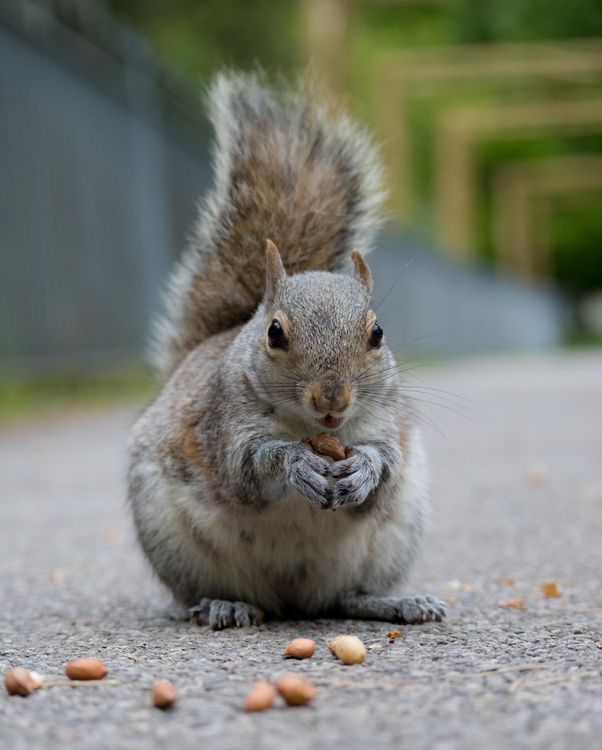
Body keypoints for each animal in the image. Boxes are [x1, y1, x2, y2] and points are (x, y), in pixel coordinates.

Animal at [127, 72, 445, 630]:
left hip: (394, 535)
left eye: (378, 333)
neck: (315, 430)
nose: (332, 400)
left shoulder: (385, 425)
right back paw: (223, 604)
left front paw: (363, 469)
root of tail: (291, 600)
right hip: (169, 537)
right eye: (274, 333)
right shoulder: (224, 424)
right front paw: (297, 463)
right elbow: (248, 469)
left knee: (345, 598)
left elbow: (385, 465)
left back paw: (397, 602)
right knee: (198, 596)